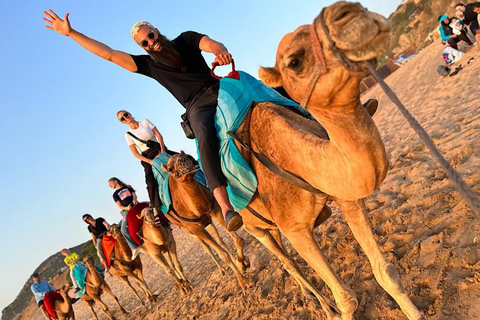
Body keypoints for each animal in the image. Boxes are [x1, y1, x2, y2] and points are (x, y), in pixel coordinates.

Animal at [160, 152, 251, 290]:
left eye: (183, 155)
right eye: (170, 168)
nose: (185, 159)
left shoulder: (216, 210)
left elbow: (237, 240)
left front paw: (242, 263)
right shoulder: (194, 228)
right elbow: (222, 254)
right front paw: (243, 282)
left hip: (208, 222)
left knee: (220, 241)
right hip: (189, 231)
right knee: (207, 248)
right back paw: (222, 270)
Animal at [193, 1, 422, 318]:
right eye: (294, 62)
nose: (350, 12)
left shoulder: (346, 196)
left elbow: (385, 272)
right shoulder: (295, 228)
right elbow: (347, 299)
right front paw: (337, 309)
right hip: (253, 227)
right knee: (287, 262)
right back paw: (321, 304)